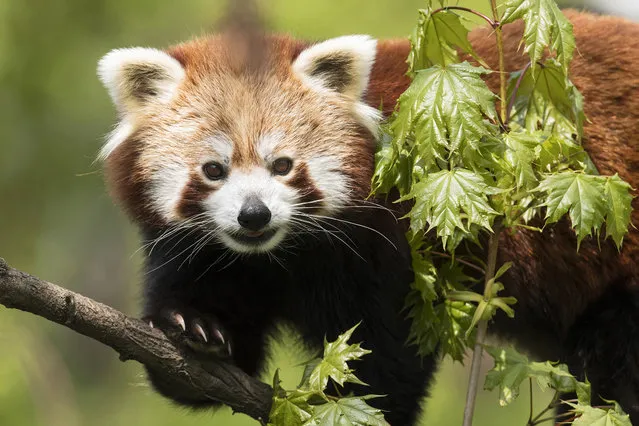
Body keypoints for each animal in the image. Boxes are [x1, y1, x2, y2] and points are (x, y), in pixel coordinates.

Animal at [97, 8, 639, 424]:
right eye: (214, 169)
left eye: (283, 165)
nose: (254, 215)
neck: (281, 254)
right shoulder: (210, 255)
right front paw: (194, 328)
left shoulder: (391, 241)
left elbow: (385, 352)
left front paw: (353, 405)